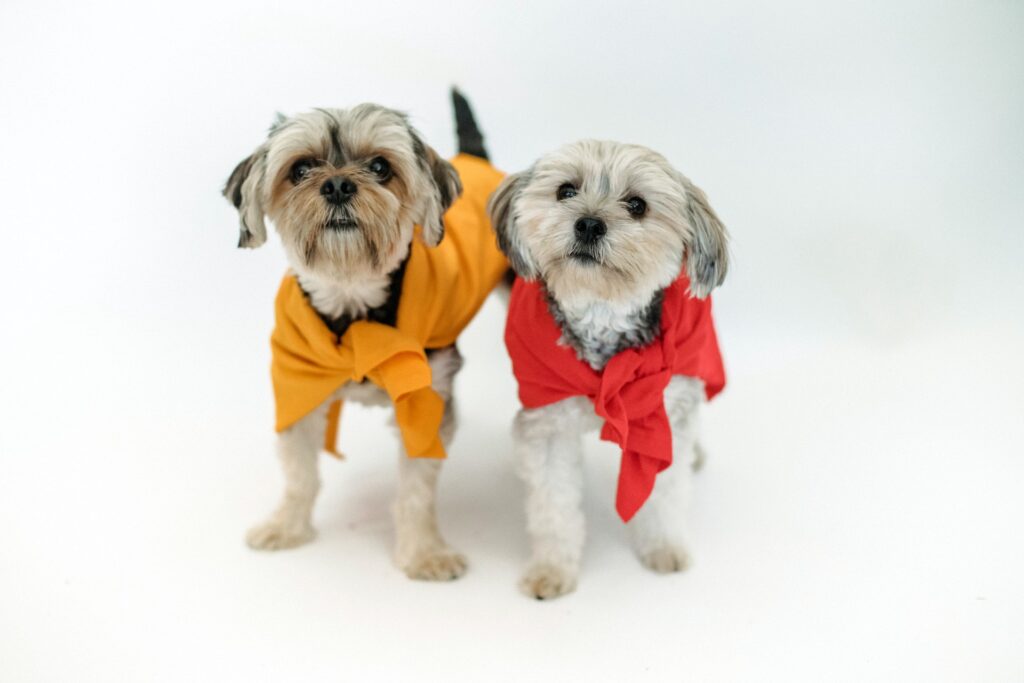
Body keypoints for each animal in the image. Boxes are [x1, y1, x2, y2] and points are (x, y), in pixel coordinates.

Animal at [227, 89, 507, 581]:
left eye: (380, 167)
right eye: (300, 169)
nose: (338, 185)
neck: (352, 304)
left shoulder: (424, 398)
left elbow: (416, 489)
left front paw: (424, 554)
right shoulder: (298, 384)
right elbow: (299, 474)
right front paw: (285, 527)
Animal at [487, 140, 729, 598]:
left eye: (637, 205)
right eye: (565, 190)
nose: (588, 224)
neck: (603, 316)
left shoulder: (665, 415)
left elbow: (665, 493)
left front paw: (664, 548)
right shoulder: (548, 422)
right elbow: (553, 506)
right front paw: (552, 569)